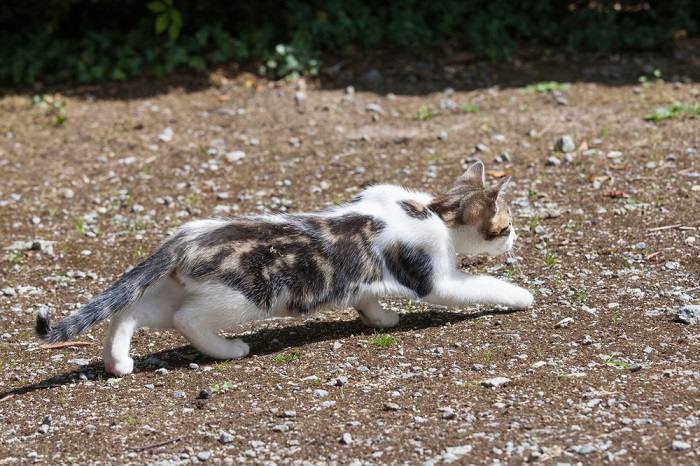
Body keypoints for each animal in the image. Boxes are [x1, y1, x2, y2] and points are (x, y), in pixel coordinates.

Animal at [35, 160, 532, 374]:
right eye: (505, 226)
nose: (517, 238)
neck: (431, 211)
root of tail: (184, 238)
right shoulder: (435, 277)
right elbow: (481, 284)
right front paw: (519, 296)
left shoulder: (365, 277)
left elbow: (366, 295)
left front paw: (381, 318)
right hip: (242, 297)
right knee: (186, 319)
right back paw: (228, 350)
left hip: (178, 288)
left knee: (130, 311)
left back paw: (118, 361)